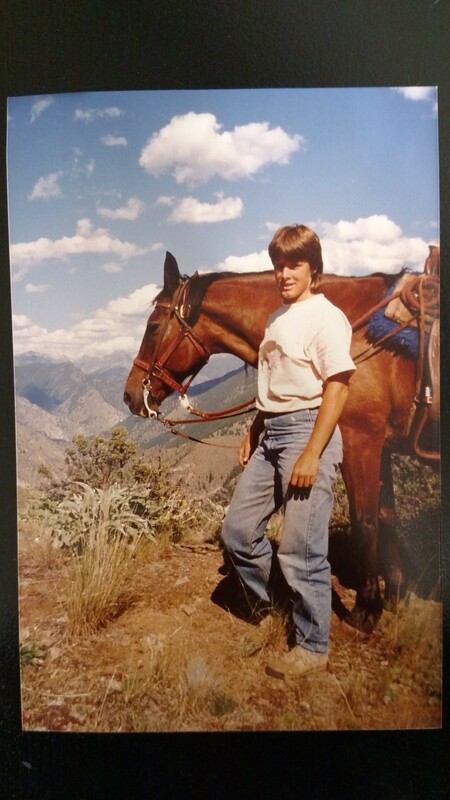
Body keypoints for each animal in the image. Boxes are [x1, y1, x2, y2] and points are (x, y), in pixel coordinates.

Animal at [123, 250, 440, 632]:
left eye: (153, 326)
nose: (129, 396)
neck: (354, 333)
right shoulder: (380, 446)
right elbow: (386, 515)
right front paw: (394, 595)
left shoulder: (360, 440)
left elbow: (365, 520)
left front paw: (366, 609)